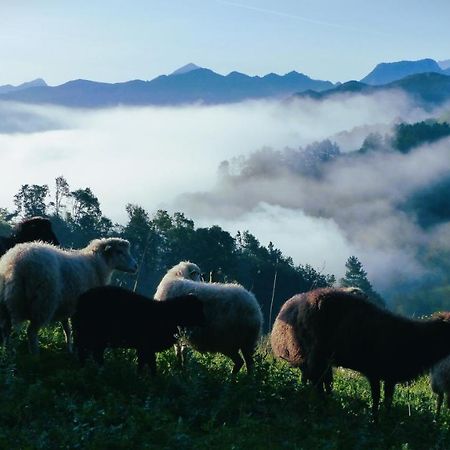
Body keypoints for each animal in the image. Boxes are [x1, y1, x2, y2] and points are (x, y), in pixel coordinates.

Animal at [0, 237, 137, 354]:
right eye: (120, 252)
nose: (136, 266)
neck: (96, 264)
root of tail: (15, 264)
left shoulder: (67, 305)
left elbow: (67, 328)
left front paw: (69, 349)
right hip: (43, 302)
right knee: (31, 332)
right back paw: (35, 356)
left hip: (6, 303)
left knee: (6, 328)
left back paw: (7, 352)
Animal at [72, 286, 206, 374]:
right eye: (196, 309)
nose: (205, 322)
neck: (167, 313)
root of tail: (81, 298)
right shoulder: (146, 346)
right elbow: (149, 365)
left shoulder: (145, 348)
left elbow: (145, 364)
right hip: (92, 334)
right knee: (88, 352)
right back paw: (92, 370)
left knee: (90, 353)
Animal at [274, 286, 450, 420]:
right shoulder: (375, 371)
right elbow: (376, 398)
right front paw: (375, 420)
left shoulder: (390, 376)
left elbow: (387, 400)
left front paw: (385, 419)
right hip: (315, 354)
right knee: (317, 382)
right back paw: (321, 406)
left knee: (321, 381)